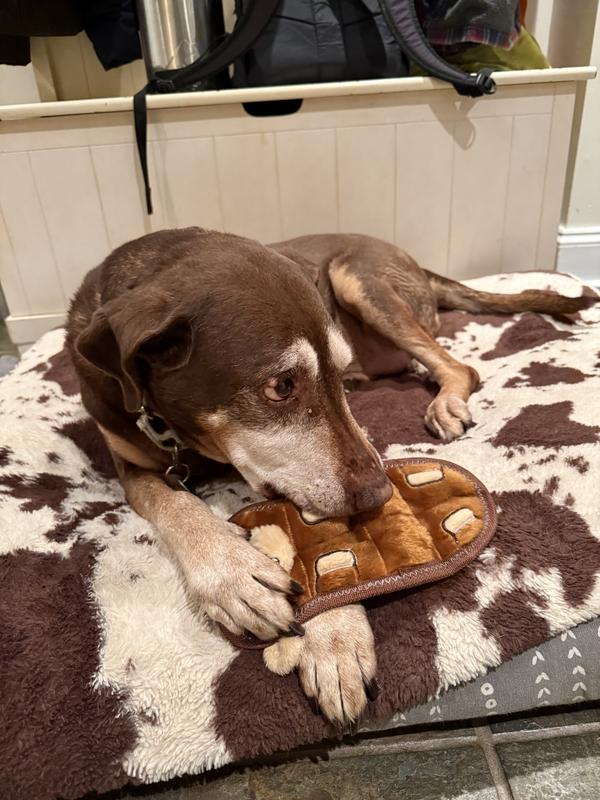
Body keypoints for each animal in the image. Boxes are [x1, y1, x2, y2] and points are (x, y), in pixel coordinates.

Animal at [66, 227, 590, 725]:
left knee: (460, 366)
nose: (381, 494)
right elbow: (175, 503)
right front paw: (234, 575)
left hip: (358, 279)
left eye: (335, 374)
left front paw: (336, 636)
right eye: (282, 385)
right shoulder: (129, 464)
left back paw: (444, 402)